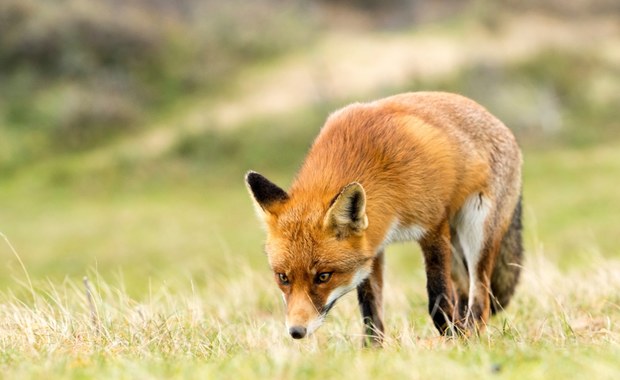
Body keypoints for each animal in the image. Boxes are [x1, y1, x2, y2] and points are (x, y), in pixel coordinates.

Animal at [245, 91, 520, 344]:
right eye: (283, 278)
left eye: (323, 276)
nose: (296, 332)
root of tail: (497, 121)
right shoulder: (372, 247)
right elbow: (370, 308)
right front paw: (372, 350)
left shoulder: (433, 228)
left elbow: (437, 298)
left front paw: (452, 339)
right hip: (455, 246)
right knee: (464, 289)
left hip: (477, 231)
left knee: (481, 296)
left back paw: (469, 335)